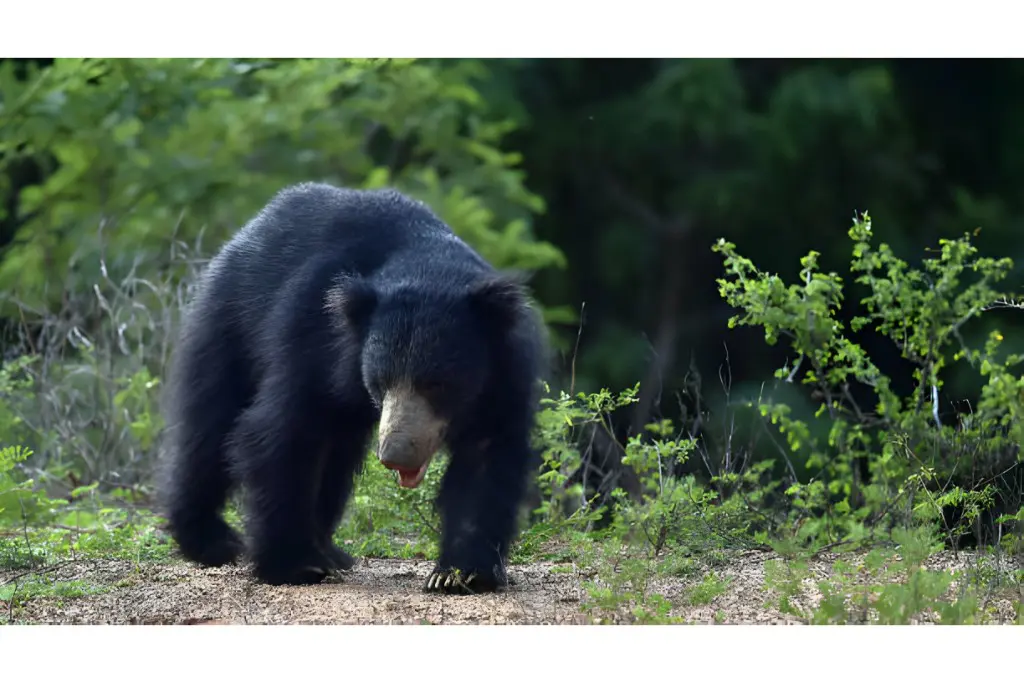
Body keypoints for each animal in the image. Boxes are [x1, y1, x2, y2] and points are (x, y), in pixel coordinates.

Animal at [158, 182, 546, 593]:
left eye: (437, 384)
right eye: (380, 382)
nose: (395, 454)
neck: (427, 265)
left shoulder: (504, 376)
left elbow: (486, 458)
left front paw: (459, 574)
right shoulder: (313, 338)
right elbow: (282, 433)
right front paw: (294, 565)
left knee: (335, 459)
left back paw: (331, 552)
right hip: (229, 325)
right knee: (209, 428)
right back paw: (211, 541)